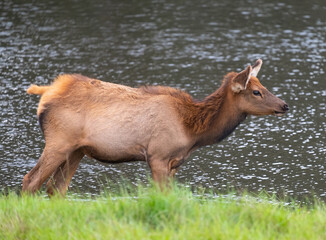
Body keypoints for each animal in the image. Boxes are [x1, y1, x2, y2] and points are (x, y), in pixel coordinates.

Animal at [22, 59, 288, 195]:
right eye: (256, 91)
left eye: (263, 85)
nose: (284, 105)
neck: (192, 131)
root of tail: (46, 91)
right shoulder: (158, 155)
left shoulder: (173, 163)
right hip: (59, 141)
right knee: (31, 180)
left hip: (77, 150)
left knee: (56, 187)